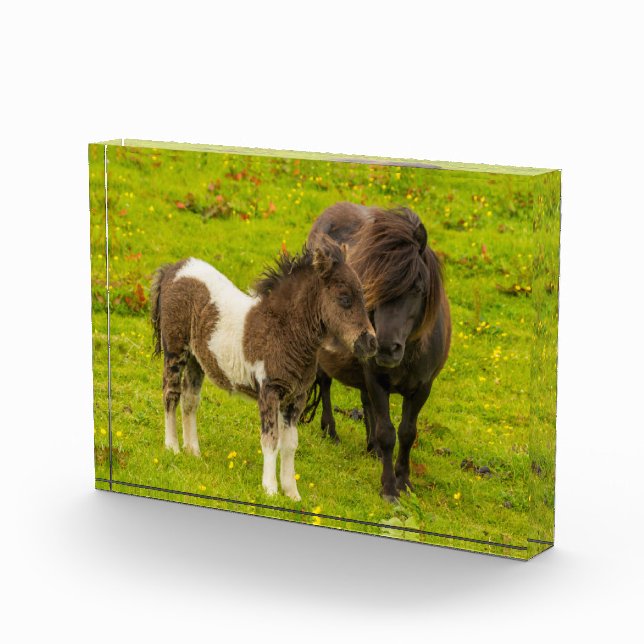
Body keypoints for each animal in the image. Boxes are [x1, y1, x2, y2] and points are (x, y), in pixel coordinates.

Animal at [150, 236, 377, 501]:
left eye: (362, 295)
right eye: (344, 298)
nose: (370, 342)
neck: (284, 331)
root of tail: (174, 269)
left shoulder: (296, 398)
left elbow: (290, 444)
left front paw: (292, 493)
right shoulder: (269, 391)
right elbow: (271, 439)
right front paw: (269, 489)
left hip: (198, 361)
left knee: (190, 401)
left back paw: (193, 451)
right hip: (175, 350)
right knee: (171, 394)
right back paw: (172, 447)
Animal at [304, 202, 451, 501]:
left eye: (418, 287)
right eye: (373, 287)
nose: (385, 347)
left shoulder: (422, 388)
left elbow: (407, 433)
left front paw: (404, 481)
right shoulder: (376, 379)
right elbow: (387, 432)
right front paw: (389, 488)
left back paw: (370, 447)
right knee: (324, 384)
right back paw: (331, 432)